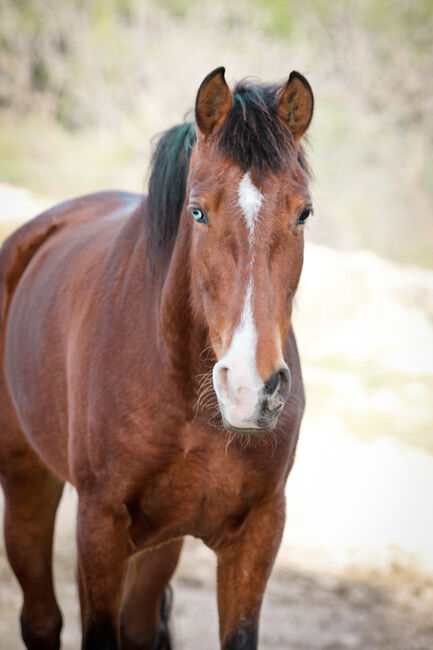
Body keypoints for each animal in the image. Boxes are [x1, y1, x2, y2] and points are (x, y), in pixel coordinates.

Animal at [0, 67, 312, 648]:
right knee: (42, 619)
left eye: (303, 212)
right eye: (197, 211)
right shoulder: (99, 525)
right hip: (28, 481)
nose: (250, 390)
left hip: (160, 541)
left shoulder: (258, 532)